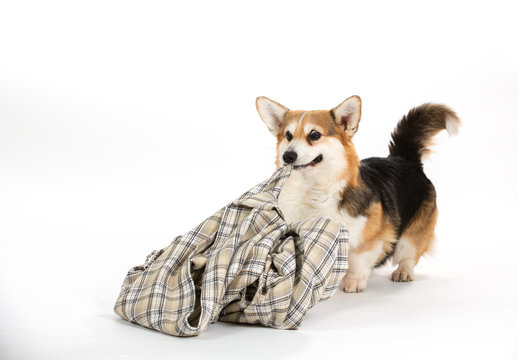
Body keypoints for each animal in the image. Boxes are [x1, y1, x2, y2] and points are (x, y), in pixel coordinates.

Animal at [258, 95, 462, 292]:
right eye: (288, 135)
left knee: (409, 254)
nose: (288, 156)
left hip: (413, 235)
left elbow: (358, 259)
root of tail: (404, 159)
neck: (312, 189)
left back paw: (403, 272)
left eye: (314, 134)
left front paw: (353, 282)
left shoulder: (371, 239)